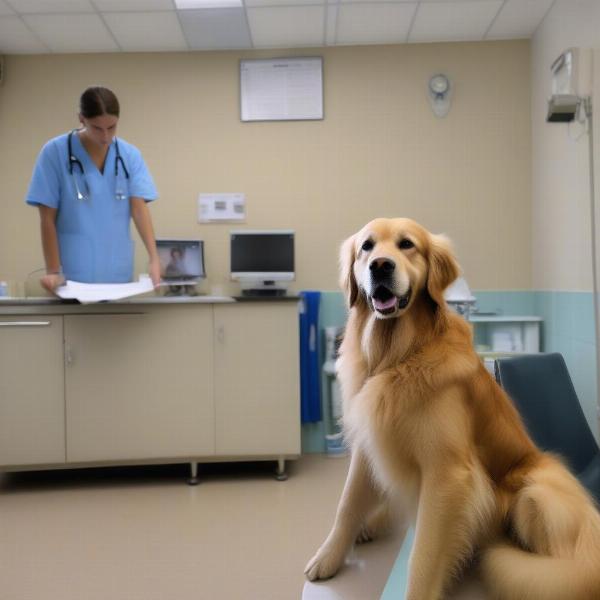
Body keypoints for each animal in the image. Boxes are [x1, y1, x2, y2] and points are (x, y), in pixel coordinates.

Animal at [304, 218, 600, 596]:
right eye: (366, 247)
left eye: (406, 244)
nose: (380, 266)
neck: (396, 356)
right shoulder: (368, 446)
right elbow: (347, 505)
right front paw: (328, 557)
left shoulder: (446, 474)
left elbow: (424, 556)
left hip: (536, 491)